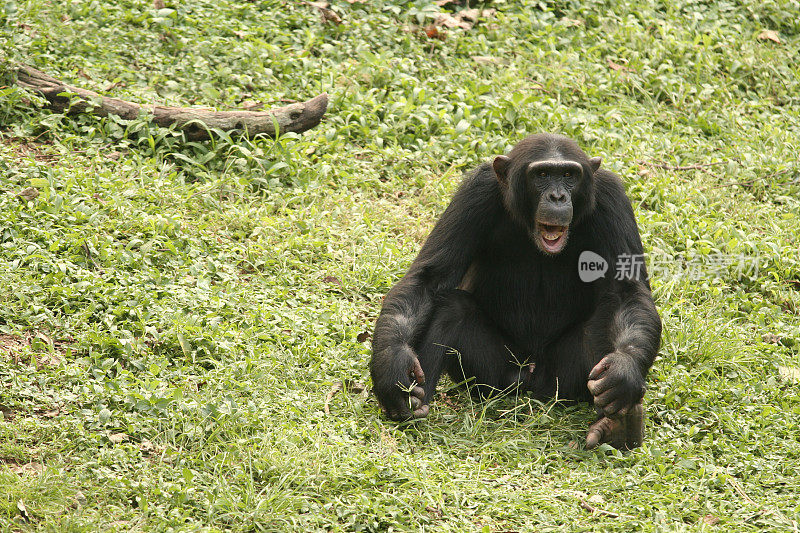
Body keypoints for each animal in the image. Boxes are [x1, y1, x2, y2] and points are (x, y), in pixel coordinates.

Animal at [368, 133, 664, 448]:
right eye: (542, 175)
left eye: (569, 176)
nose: (557, 197)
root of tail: (531, 379)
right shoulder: (476, 191)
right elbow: (428, 278)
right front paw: (392, 367)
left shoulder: (612, 197)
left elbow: (627, 293)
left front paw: (623, 371)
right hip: (495, 375)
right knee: (452, 309)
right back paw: (416, 405)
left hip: (562, 379)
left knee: (607, 317)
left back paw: (618, 425)